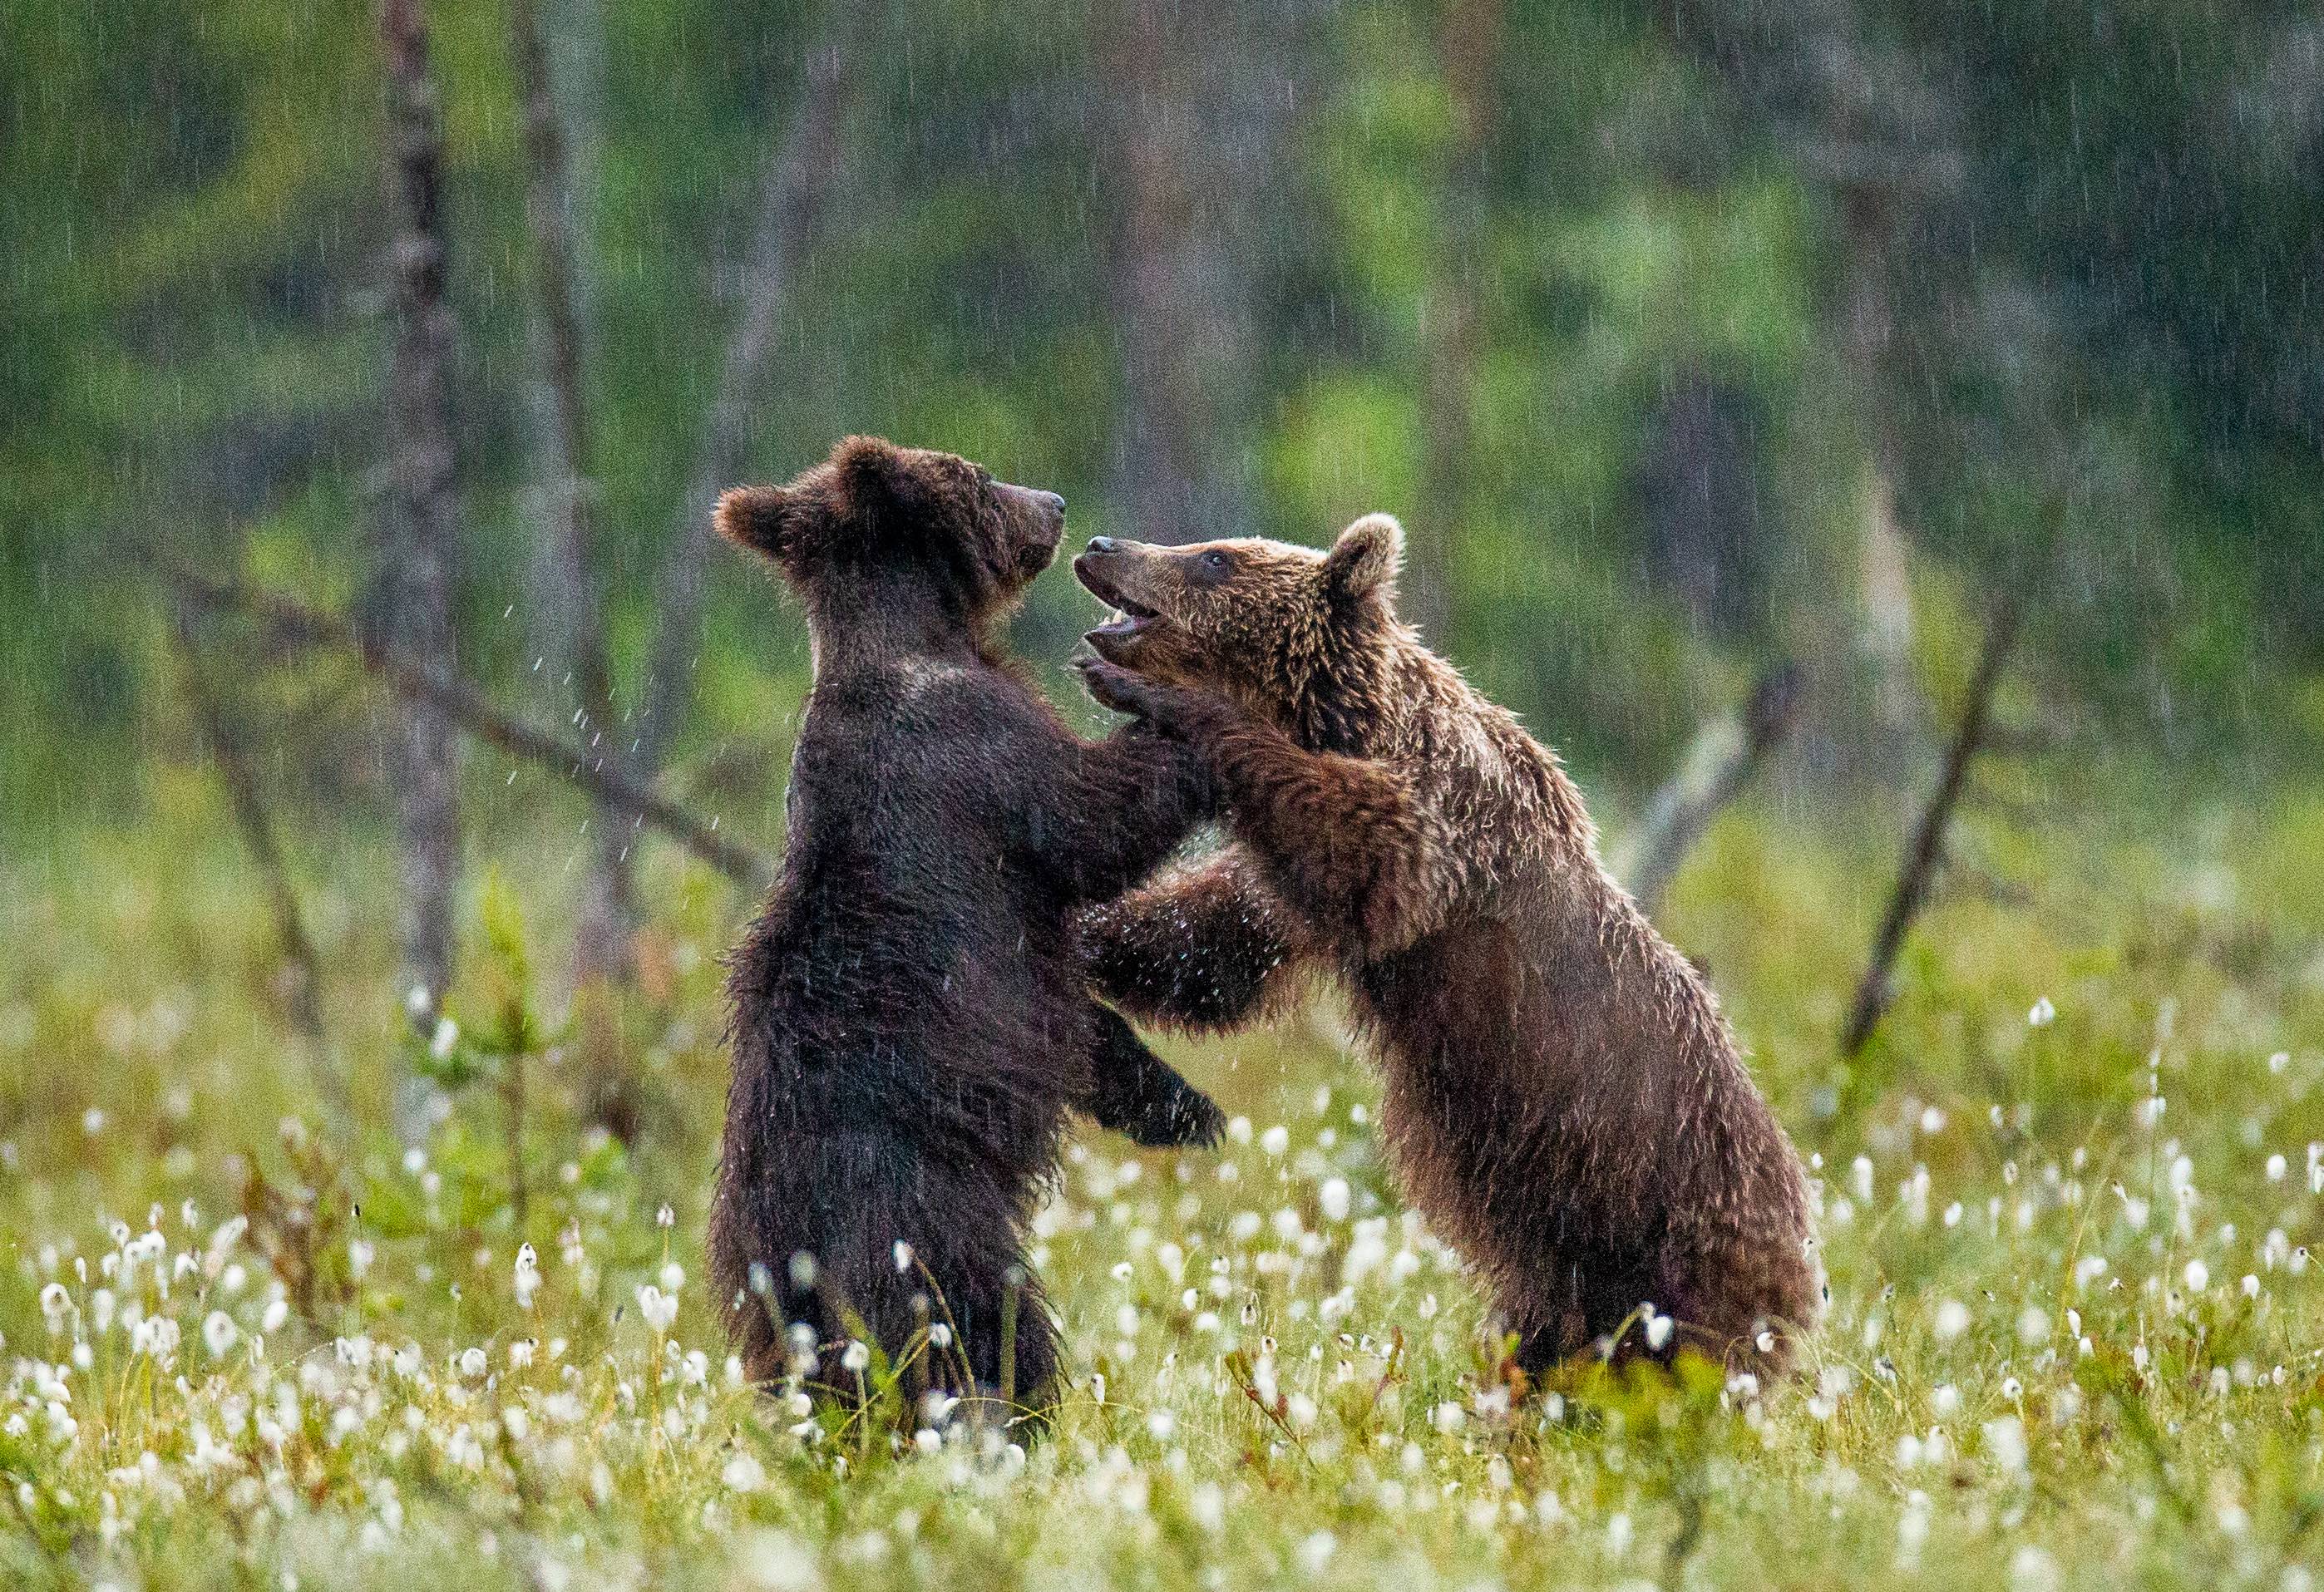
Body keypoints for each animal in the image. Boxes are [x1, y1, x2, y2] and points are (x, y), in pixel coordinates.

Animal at [702, 434, 1226, 1412]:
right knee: (975, 1314)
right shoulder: (974, 754)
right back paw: (1014, 1409)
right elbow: (1092, 822)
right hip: (917, 1207)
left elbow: (1084, 1027)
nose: (1055, 503)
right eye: (978, 475)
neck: (922, 640)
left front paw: (1182, 1104)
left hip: (767, 1276)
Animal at [1064, 515, 1813, 1376]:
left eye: (1215, 558)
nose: (1101, 543)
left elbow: (1360, 841)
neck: (1352, 723)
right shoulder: (1290, 905)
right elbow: (1211, 943)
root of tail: (1807, 1256)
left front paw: (1153, 695)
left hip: (1674, 1243)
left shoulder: (1449, 828)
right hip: (1560, 1273)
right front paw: (1082, 931)